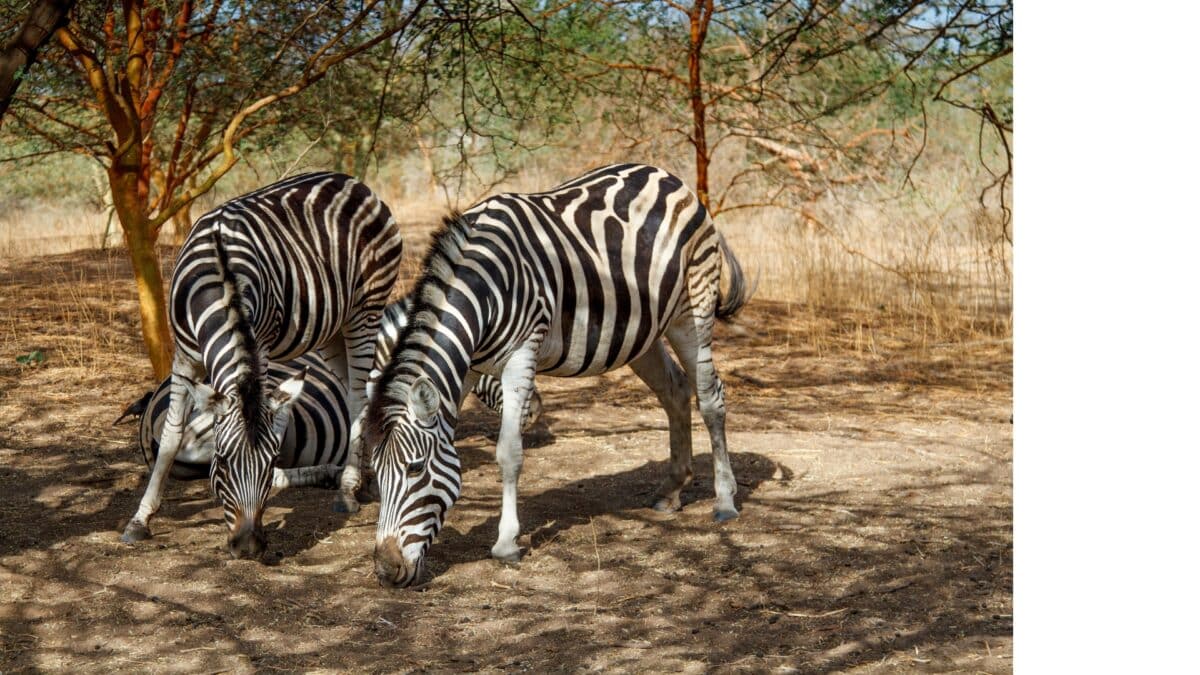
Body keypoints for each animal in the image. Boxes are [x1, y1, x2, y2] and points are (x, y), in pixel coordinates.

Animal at [121, 171, 405, 557]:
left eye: (270, 463)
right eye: (222, 461)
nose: (248, 546)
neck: (219, 281)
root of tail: (354, 182)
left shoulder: (262, 349)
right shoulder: (184, 355)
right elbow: (170, 437)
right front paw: (141, 518)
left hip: (366, 309)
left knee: (360, 395)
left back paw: (348, 487)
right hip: (331, 328)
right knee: (353, 392)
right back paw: (362, 474)